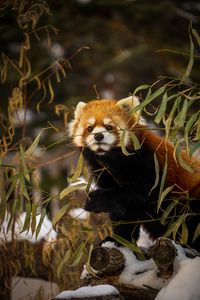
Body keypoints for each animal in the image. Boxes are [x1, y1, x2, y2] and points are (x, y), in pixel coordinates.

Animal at [68, 96, 200, 251]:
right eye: (90, 128)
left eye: (109, 127)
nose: (98, 136)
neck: (112, 159)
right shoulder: (105, 174)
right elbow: (125, 214)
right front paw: (118, 240)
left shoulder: (150, 166)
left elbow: (139, 194)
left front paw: (94, 199)